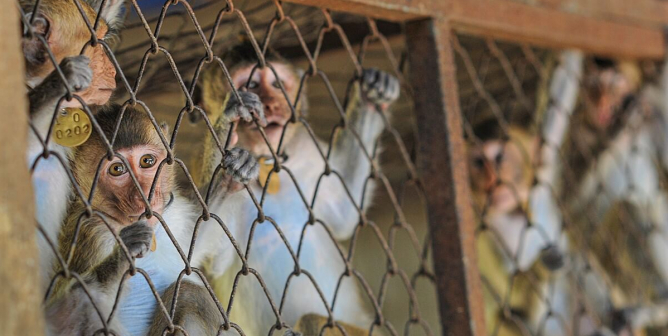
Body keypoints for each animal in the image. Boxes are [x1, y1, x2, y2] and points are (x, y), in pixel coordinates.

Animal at [46, 103, 258, 334]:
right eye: (117, 169)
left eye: (147, 161)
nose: (144, 194)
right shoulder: (92, 233)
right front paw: (126, 250)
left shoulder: (169, 215)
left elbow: (197, 233)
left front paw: (233, 160)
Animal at [196, 41, 400, 334]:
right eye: (251, 84)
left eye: (277, 84)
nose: (272, 104)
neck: (268, 161)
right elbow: (205, 254)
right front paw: (228, 163)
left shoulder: (309, 152)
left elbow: (345, 212)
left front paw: (371, 96)